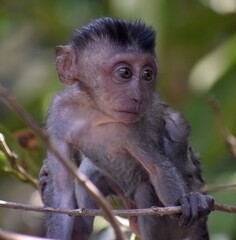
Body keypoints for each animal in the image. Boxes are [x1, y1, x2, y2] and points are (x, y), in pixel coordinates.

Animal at [39, 17, 214, 239]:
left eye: (147, 75)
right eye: (125, 73)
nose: (138, 97)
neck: (96, 112)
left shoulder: (135, 127)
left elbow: (158, 168)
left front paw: (186, 201)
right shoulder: (59, 113)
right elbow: (62, 191)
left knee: (146, 190)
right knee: (89, 173)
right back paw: (77, 224)